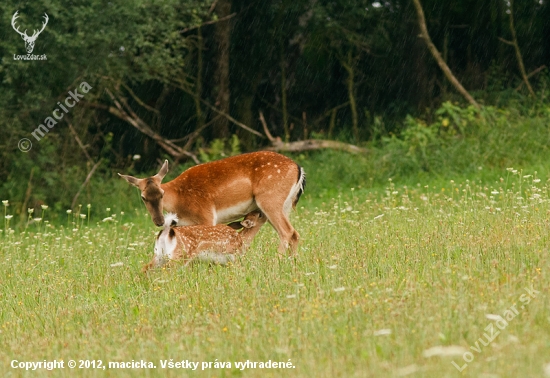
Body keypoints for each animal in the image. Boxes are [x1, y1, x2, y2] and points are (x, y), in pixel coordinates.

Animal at [119, 151, 306, 254]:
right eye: (143, 197)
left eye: (162, 194)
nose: (158, 221)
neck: (180, 200)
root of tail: (299, 169)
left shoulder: (206, 215)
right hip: (283, 205)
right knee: (294, 233)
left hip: (270, 199)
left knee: (287, 231)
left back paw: (277, 260)